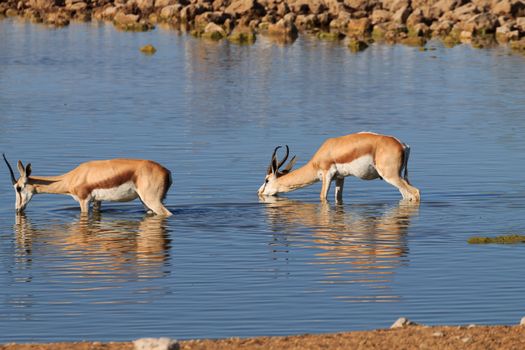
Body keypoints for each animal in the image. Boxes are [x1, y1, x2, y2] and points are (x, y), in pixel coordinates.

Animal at [3, 155, 172, 216]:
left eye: (18, 188)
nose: (17, 209)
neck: (72, 178)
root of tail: (166, 171)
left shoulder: (84, 201)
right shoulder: (98, 202)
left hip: (151, 200)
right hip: (144, 202)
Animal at [258, 131, 422, 202]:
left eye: (266, 180)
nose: (259, 192)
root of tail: (403, 145)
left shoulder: (327, 175)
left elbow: (322, 196)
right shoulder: (340, 178)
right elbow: (338, 197)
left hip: (391, 176)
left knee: (415, 193)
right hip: (398, 177)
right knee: (407, 195)